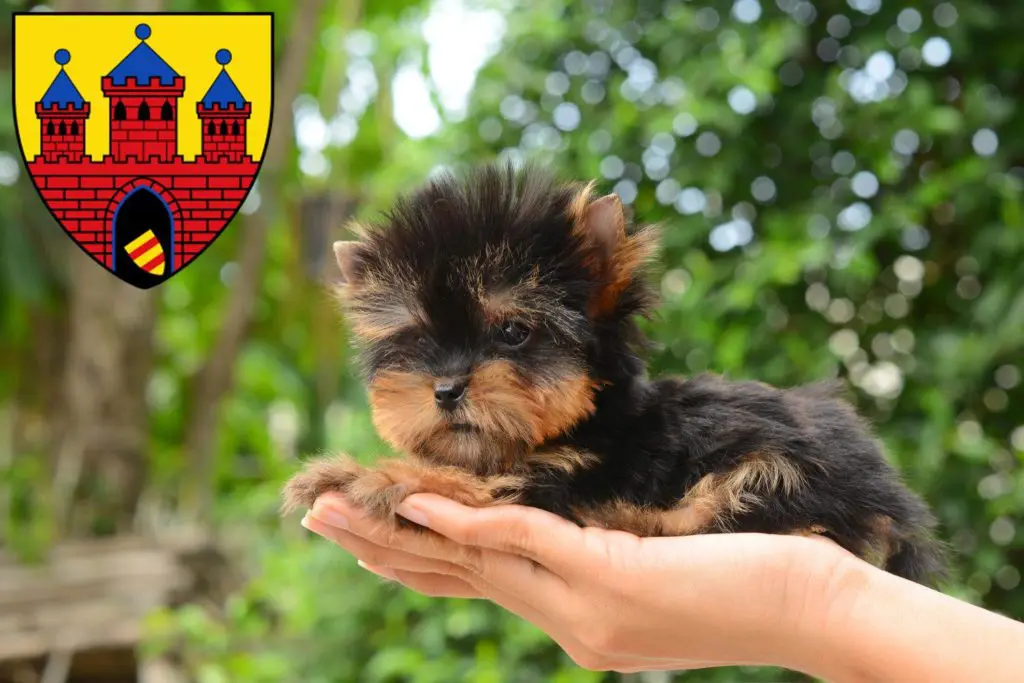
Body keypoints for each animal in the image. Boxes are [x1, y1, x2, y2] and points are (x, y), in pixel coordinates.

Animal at [284, 162, 946, 585]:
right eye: (419, 340)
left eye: (513, 332)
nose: (446, 389)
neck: (584, 421)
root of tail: (893, 501)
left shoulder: (564, 472)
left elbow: (479, 482)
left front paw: (366, 473)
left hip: (789, 466)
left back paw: (631, 519)